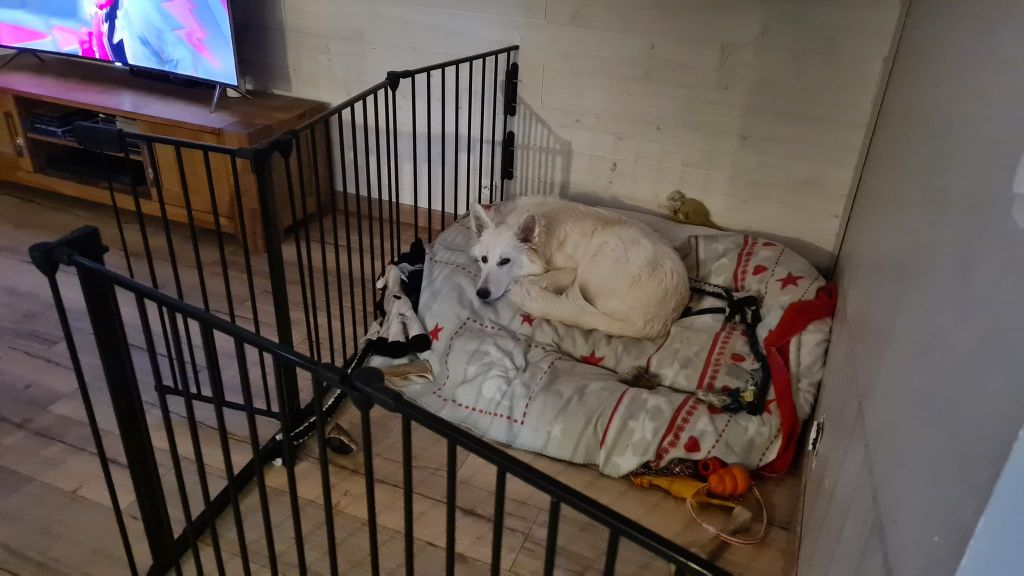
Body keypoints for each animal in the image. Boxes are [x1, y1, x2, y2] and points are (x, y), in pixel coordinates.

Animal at [469, 198, 690, 340]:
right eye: (484, 259)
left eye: (505, 261)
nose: (481, 294)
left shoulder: (570, 270)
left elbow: (533, 279)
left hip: (604, 250)